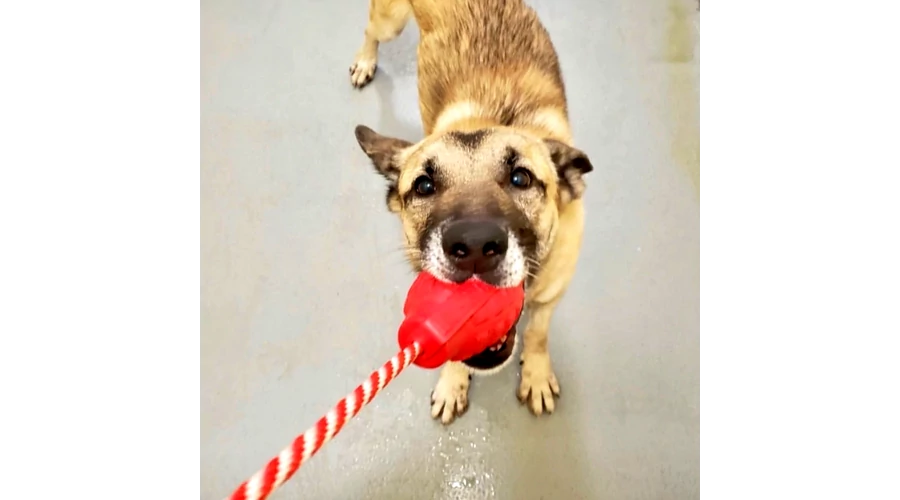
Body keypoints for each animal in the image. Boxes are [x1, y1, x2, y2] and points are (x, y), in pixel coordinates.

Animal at [350, 0, 593, 424]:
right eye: (423, 186)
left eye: (521, 178)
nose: (475, 247)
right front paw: (453, 383)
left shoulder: (551, 296)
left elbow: (537, 333)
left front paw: (536, 374)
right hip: (390, 22)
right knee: (370, 31)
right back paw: (365, 61)